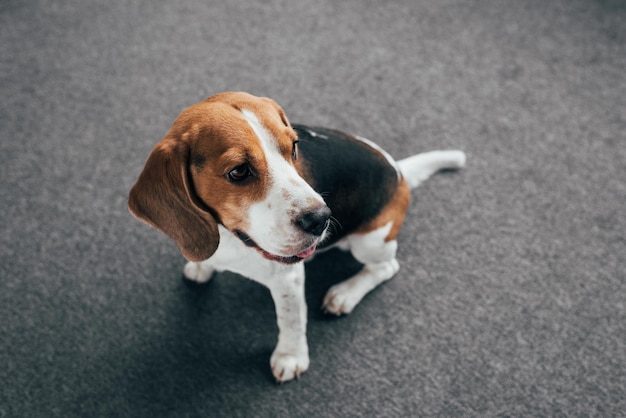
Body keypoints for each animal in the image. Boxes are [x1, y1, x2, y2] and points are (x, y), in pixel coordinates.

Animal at [128, 92, 464, 382]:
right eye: (239, 171)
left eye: (293, 148)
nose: (322, 219)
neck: (231, 237)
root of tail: (399, 171)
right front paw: (202, 266)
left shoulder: (286, 277)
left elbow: (290, 320)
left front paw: (291, 356)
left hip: (369, 242)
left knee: (386, 267)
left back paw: (345, 293)